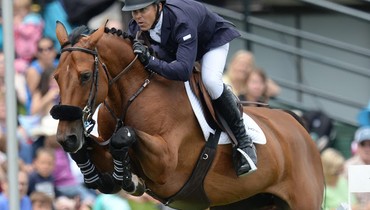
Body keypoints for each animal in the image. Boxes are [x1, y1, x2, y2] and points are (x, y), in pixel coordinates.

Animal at [52, 21, 324, 210]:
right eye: (56, 77)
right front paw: (101, 173)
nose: (67, 138)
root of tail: (297, 125)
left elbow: (125, 135)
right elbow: (97, 148)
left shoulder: (166, 165)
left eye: (85, 76)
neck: (133, 94)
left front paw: (128, 179)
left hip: (302, 201)